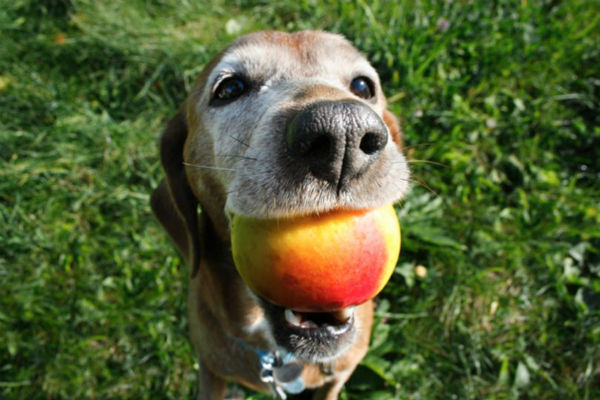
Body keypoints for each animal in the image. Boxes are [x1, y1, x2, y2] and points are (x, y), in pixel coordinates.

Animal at [152, 29, 410, 398]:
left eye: (363, 86)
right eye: (228, 89)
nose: (343, 132)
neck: (281, 358)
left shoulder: (338, 376)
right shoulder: (210, 370)